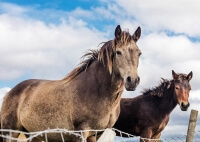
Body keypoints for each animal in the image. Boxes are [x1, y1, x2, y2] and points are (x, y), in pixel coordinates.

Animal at [0, 25, 142, 141]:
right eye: (118, 52)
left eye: (139, 53)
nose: (132, 81)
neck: (97, 90)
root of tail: (10, 92)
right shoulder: (81, 132)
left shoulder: (97, 134)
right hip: (11, 132)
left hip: (33, 135)